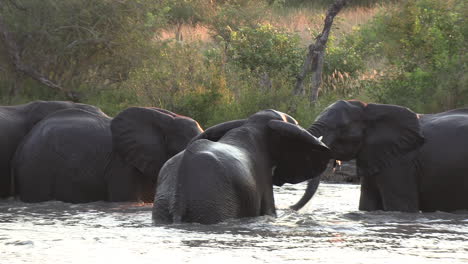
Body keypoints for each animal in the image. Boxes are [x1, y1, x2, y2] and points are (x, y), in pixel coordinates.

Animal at [294, 100, 468, 213]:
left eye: (341, 127)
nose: (291, 208)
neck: (371, 109)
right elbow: (367, 205)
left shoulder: (401, 162)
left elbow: (400, 207)